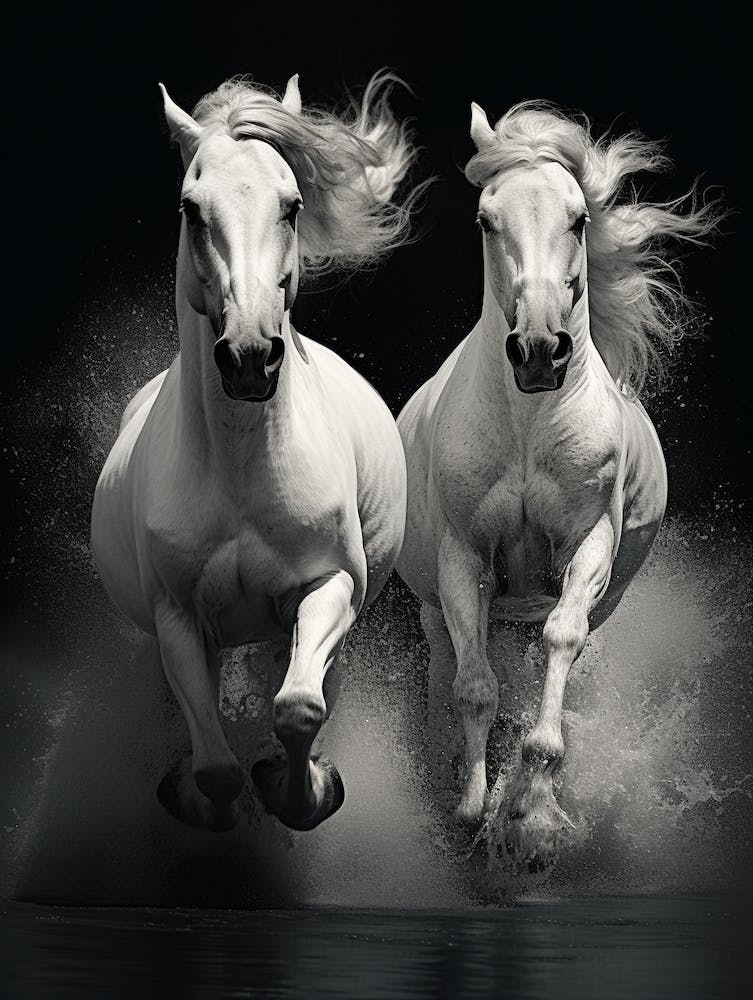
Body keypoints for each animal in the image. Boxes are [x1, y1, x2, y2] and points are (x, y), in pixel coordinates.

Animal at [91, 72, 417, 833]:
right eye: (190, 208)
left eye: (291, 205)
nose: (247, 356)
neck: (242, 470)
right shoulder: (177, 620)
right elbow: (213, 765)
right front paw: (196, 797)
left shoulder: (329, 586)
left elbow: (298, 709)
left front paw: (301, 789)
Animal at [396, 100, 718, 870]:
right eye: (486, 220)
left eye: (577, 217)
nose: (539, 350)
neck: (527, 426)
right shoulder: (463, 559)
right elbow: (474, 689)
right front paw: (472, 809)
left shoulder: (587, 545)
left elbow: (560, 642)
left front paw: (533, 817)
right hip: (435, 608)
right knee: (450, 671)